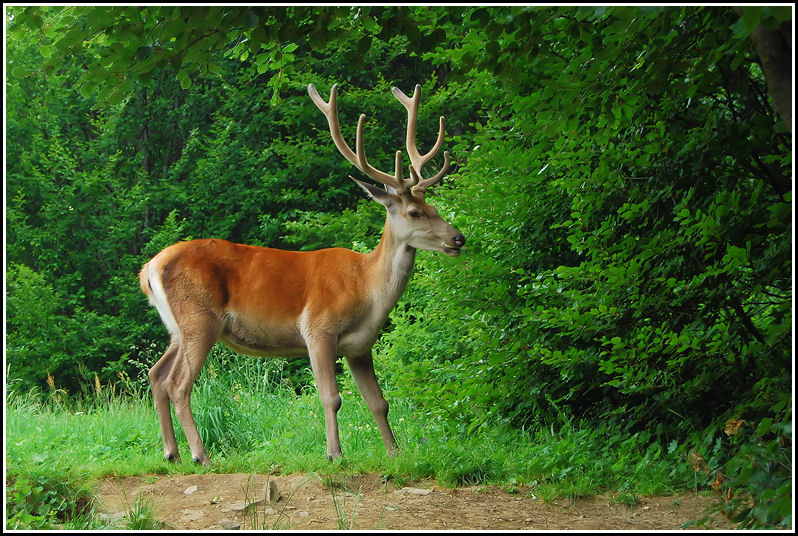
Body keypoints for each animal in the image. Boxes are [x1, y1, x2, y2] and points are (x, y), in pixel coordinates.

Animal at [137, 84, 462, 464]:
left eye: (434, 207)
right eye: (414, 212)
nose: (458, 238)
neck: (367, 289)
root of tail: (150, 267)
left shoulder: (360, 346)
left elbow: (378, 402)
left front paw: (395, 453)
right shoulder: (318, 327)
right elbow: (331, 397)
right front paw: (334, 454)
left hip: (177, 327)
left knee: (156, 374)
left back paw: (171, 453)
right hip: (199, 317)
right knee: (177, 383)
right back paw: (200, 455)